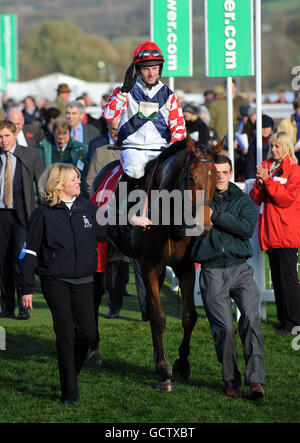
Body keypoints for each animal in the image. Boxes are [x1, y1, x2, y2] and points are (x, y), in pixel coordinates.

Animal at [93, 136, 223, 392]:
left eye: (216, 178)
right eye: (191, 178)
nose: (203, 225)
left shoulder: (183, 266)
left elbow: (189, 316)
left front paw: (181, 364)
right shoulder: (150, 265)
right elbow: (158, 316)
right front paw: (163, 371)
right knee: (94, 295)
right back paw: (94, 351)